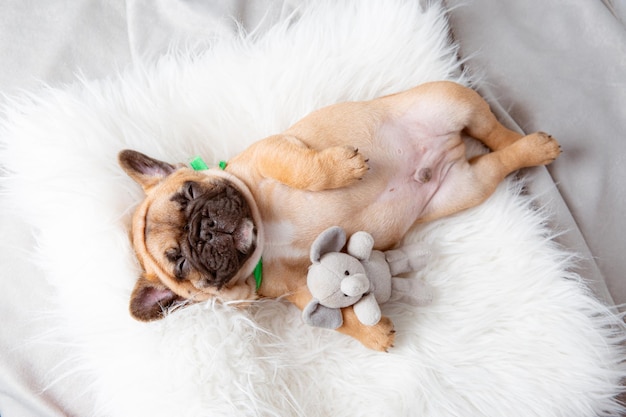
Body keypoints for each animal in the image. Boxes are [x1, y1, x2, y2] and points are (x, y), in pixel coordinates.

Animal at [119, 79, 560, 350]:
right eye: (179, 264)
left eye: (189, 193)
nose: (205, 230)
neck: (263, 231)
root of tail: (450, 147)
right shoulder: (295, 288)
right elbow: (332, 314)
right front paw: (372, 332)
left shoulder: (269, 154)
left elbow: (304, 169)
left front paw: (344, 169)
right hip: (465, 188)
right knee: (495, 161)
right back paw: (526, 151)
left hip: (448, 100)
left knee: (493, 130)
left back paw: (536, 144)